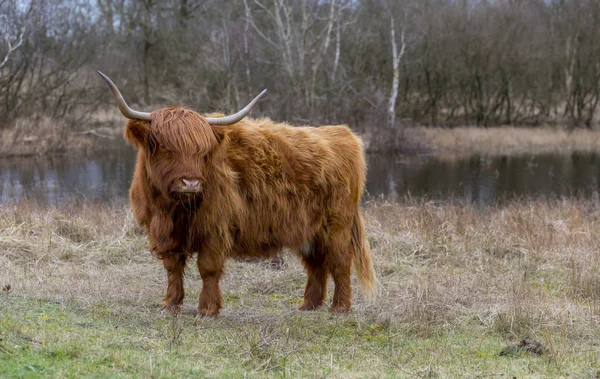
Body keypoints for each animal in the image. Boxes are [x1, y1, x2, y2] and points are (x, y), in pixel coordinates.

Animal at [99, 72, 378, 318]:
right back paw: (308, 305)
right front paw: (170, 304)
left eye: (203, 151)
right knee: (316, 265)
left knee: (340, 263)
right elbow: (172, 268)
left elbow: (208, 268)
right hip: (309, 230)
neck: (171, 208)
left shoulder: (215, 228)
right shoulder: (163, 232)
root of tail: (343, 134)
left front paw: (207, 310)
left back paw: (339, 307)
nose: (191, 182)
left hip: (336, 226)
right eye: (167, 148)